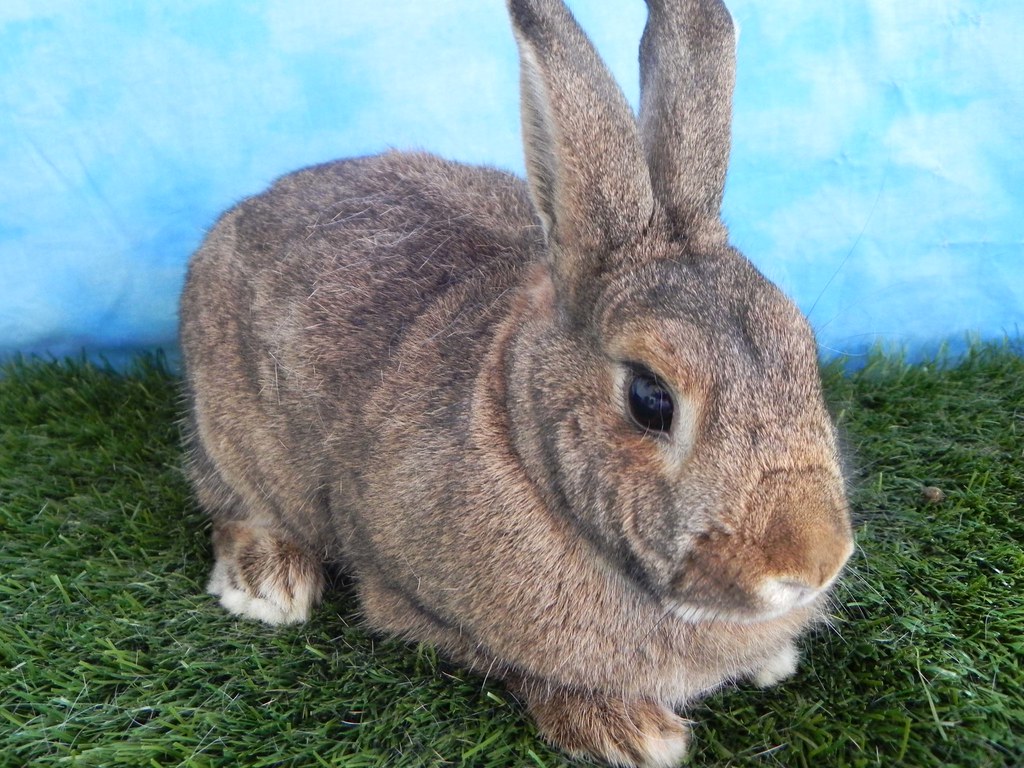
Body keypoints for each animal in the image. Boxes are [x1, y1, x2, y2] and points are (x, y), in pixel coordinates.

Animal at [178, 0, 855, 765]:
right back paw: (269, 583)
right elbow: (522, 668)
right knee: (229, 500)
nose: (814, 564)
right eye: (650, 399)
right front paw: (633, 732)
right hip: (225, 429)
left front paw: (771, 660)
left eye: (804, 351)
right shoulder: (415, 597)